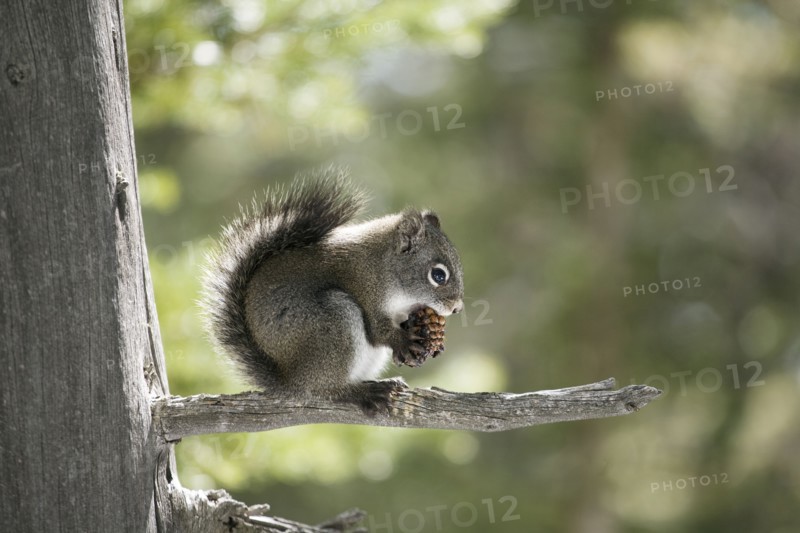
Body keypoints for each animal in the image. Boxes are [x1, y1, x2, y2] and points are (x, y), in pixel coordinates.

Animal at [201, 167, 464, 414]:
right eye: (438, 275)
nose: (457, 308)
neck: (388, 270)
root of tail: (290, 381)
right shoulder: (366, 287)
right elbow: (379, 330)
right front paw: (405, 340)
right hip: (333, 323)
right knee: (324, 389)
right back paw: (363, 393)